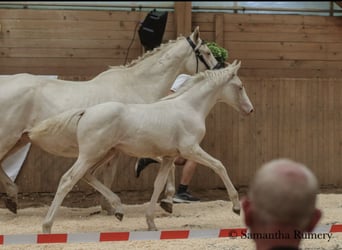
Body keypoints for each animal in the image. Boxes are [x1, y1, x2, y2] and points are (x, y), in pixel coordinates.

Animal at [0, 26, 219, 215]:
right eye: (207, 52)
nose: (219, 68)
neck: (136, 86)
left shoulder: (117, 147)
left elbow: (107, 175)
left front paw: (109, 207)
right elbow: (162, 166)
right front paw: (165, 201)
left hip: (19, 140)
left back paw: (12, 199)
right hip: (8, 139)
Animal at [28, 60, 254, 232]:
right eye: (240, 86)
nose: (250, 110)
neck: (188, 107)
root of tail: (87, 111)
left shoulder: (170, 157)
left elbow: (158, 184)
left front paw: (151, 222)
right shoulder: (190, 149)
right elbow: (219, 165)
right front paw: (236, 207)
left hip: (104, 154)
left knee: (87, 176)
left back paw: (119, 209)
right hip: (91, 154)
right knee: (68, 179)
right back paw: (47, 226)